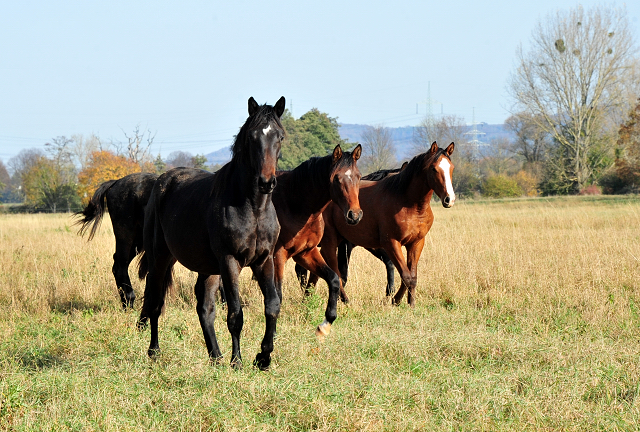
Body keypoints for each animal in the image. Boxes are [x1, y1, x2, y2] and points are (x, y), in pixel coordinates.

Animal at [74, 170, 158, 308]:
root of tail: (116, 182)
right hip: (125, 236)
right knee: (120, 265)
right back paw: (129, 301)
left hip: (137, 241)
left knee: (118, 265)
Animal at [139, 96, 286, 370]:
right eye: (252, 137)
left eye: (279, 136)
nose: (266, 182)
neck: (253, 208)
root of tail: (162, 182)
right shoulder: (230, 261)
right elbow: (236, 314)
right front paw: (237, 361)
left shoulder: (264, 260)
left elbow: (272, 306)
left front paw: (263, 358)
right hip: (160, 258)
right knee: (154, 302)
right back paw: (154, 351)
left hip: (209, 269)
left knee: (205, 308)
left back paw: (215, 356)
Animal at [310, 143, 456, 306]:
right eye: (433, 168)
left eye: (451, 167)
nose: (449, 199)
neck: (408, 203)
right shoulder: (391, 243)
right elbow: (406, 275)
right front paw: (396, 300)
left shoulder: (416, 243)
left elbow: (412, 276)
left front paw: (409, 303)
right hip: (330, 242)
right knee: (334, 271)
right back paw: (343, 300)